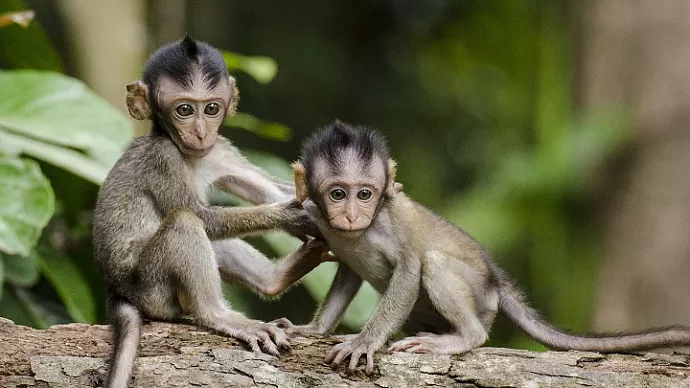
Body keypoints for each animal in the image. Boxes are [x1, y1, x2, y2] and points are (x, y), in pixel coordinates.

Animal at [92, 34, 326, 386]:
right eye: (184, 110)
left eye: (212, 108)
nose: (201, 132)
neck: (188, 154)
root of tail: (117, 290)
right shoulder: (163, 159)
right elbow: (200, 216)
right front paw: (290, 216)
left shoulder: (219, 149)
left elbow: (272, 190)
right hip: (152, 290)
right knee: (185, 222)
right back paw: (217, 315)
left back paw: (275, 278)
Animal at [276, 122, 690, 376]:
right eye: (337, 194)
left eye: (365, 194)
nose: (350, 215)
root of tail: (496, 284)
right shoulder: (321, 220)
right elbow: (347, 272)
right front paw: (314, 329)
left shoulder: (392, 221)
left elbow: (409, 269)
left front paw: (365, 341)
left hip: (479, 297)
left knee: (435, 264)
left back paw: (464, 337)